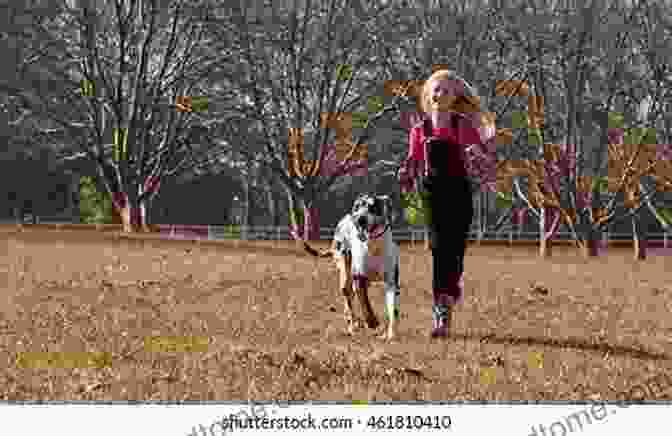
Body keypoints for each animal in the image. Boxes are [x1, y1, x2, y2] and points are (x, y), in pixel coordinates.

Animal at [304, 194, 402, 340]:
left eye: (373, 207)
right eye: (357, 206)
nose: (360, 219)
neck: (374, 247)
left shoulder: (391, 282)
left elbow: (392, 309)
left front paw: (390, 333)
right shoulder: (358, 278)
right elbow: (365, 304)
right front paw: (372, 321)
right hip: (345, 272)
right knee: (349, 300)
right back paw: (353, 324)